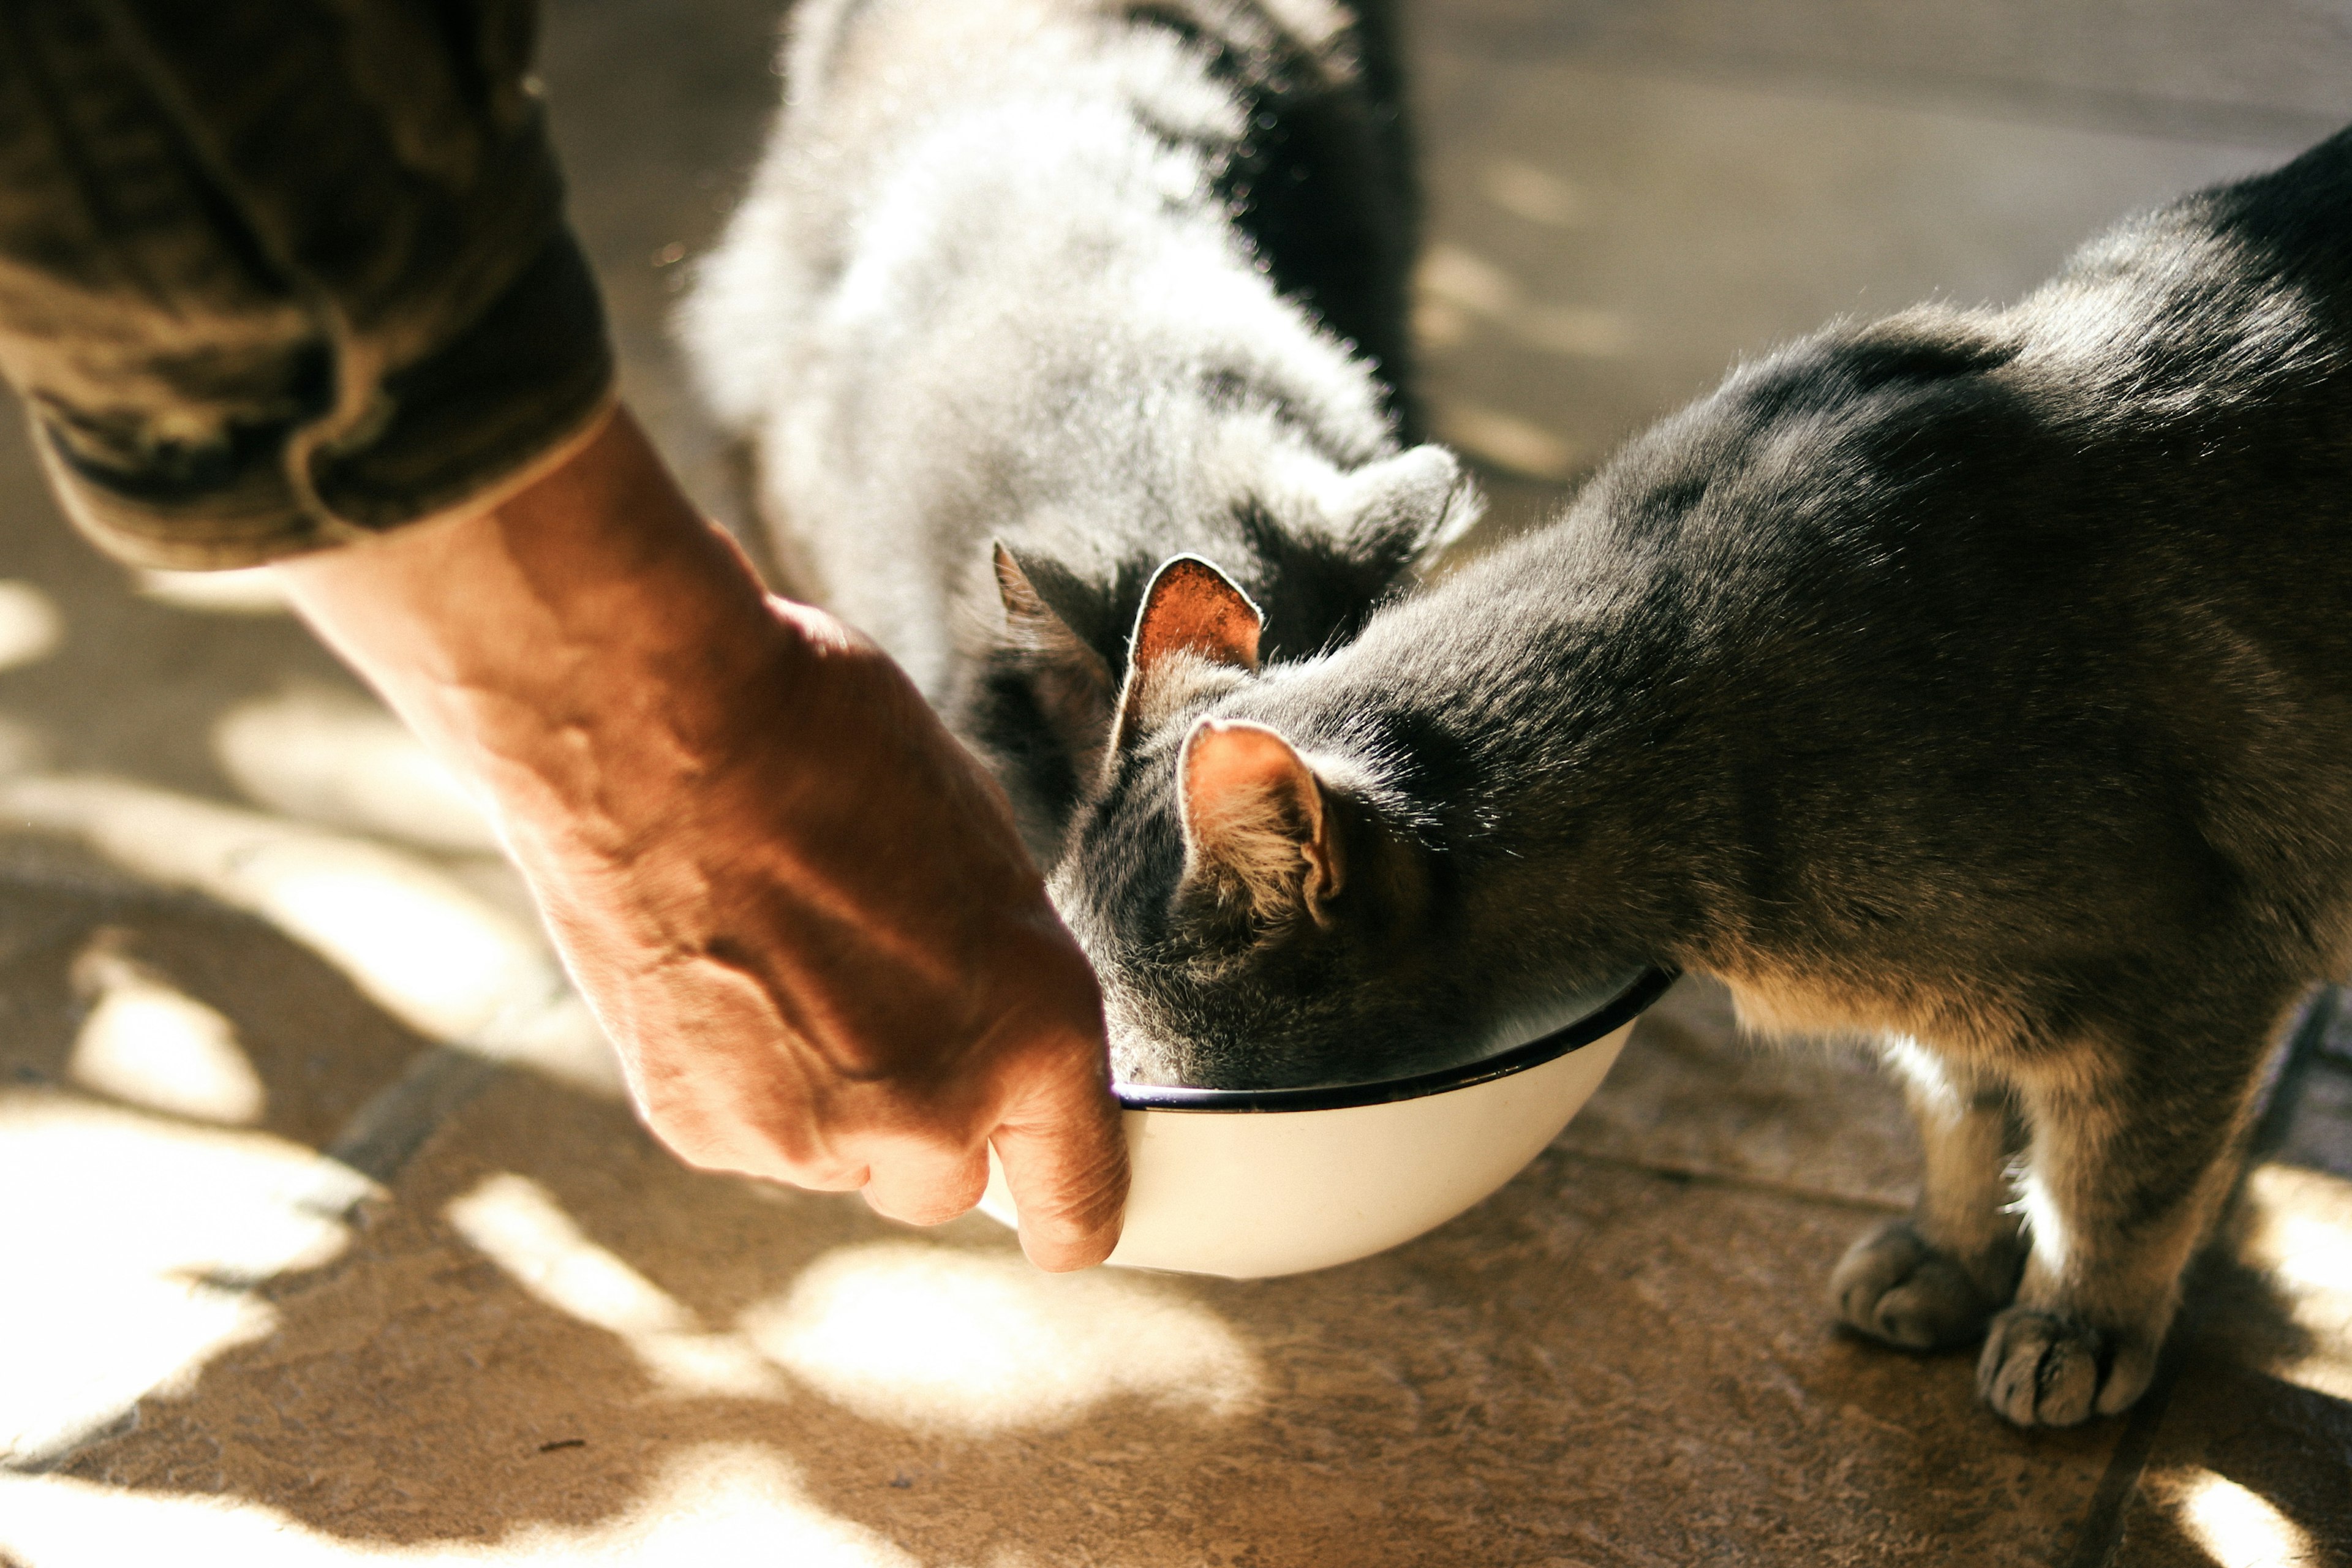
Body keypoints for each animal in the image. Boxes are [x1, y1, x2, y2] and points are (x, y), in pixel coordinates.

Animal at [1058, 131, 2352, 1438]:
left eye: (1121, 1054)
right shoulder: (1971, 1019)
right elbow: (1963, 1121)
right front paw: (1946, 1258)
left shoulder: (2191, 972)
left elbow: (2110, 1186)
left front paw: (2072, 1326)